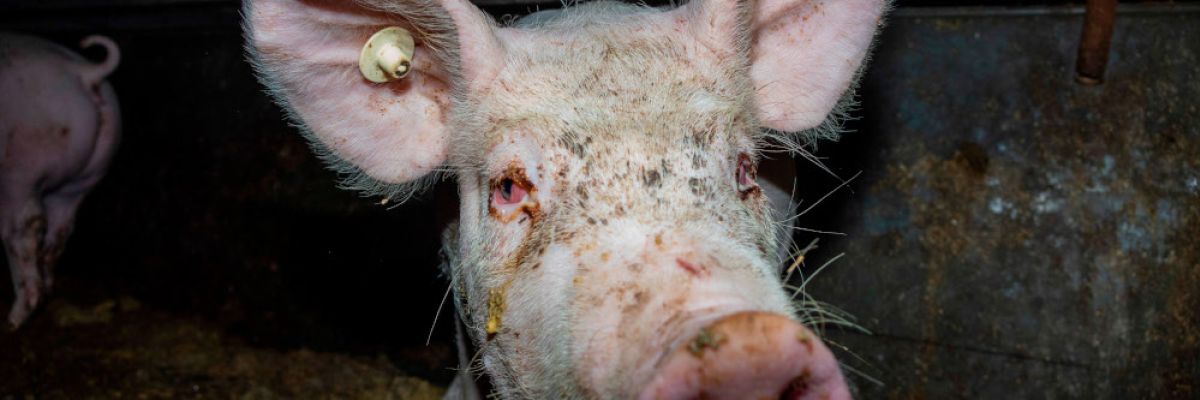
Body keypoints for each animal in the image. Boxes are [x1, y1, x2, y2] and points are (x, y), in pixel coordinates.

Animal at [0, 33, 121, 328]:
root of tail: (85, 72)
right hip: (87, 175)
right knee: (61, 228)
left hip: (21, 168)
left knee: (24, 228)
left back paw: (14, 321)